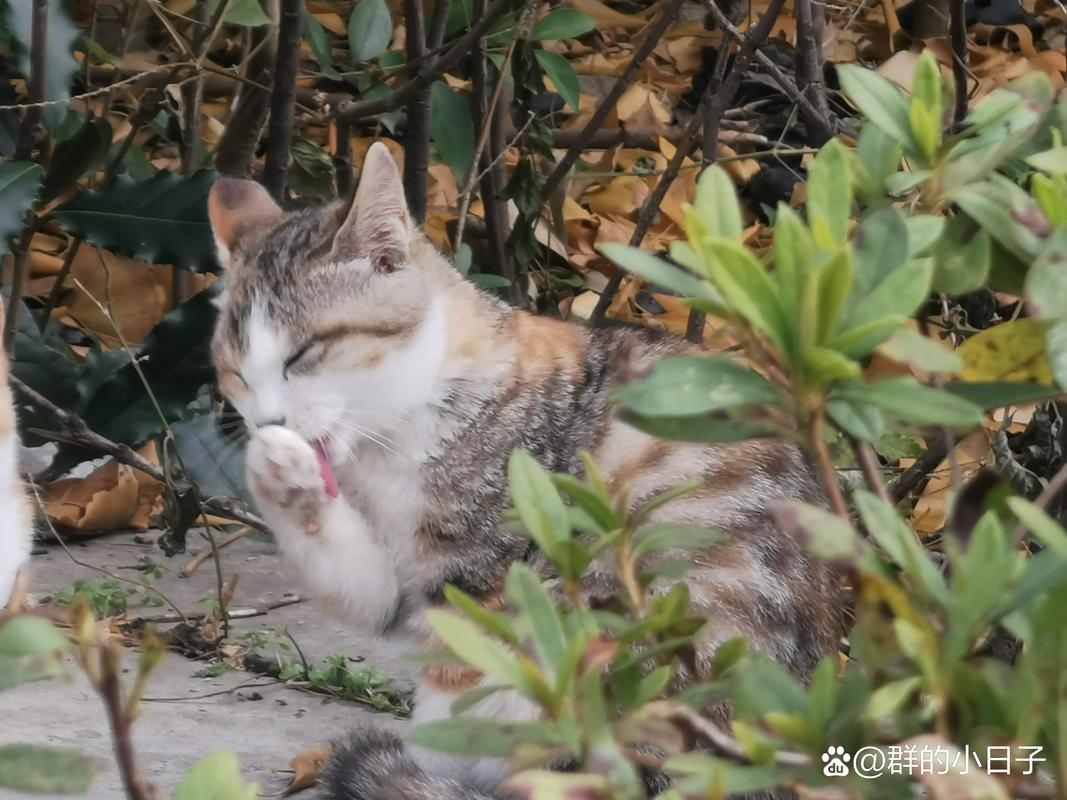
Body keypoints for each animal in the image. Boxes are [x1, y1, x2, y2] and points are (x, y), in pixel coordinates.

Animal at [210, 146, 840, 800]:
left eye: (302, 354)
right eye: (234, 372)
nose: (267, 421)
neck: (396, 436)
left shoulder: (483, 579)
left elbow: (457, 696)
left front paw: (423, 769)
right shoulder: (395, 582)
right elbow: (357, 581)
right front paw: (281, 473)